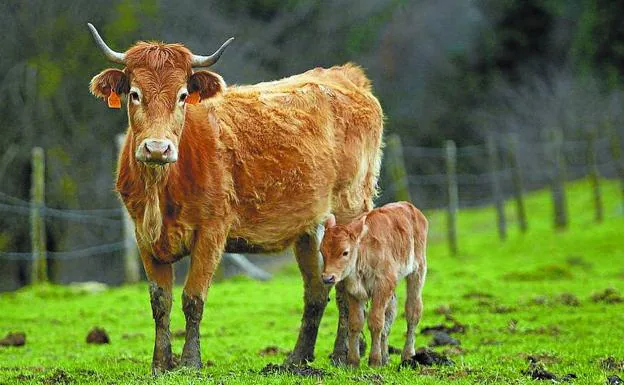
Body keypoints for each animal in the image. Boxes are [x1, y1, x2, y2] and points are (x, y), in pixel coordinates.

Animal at [85, 24, 382, 372]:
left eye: (182, 96)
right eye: (134, 94)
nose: (157, 149)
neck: (162, 191)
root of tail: (345, 75)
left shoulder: (212, 232)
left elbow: (193, 298)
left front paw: (190, 362)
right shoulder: (144, 235)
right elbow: (160, 301)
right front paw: (160, 363)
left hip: (351, 207)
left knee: (347, 288)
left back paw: (342, 357)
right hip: (308, 227)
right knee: (317, 291)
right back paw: (297, 360)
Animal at [320, 201, 426, 366]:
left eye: (345, 252)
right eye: (322, 251)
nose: (328, 278)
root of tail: (410, 207)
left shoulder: (383, 286)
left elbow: (375, 321)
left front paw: (374, 360)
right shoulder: (353, 290)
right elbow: (355, 323)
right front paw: (353, 361)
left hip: (418, 271)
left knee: (413, 312)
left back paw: (407, 355)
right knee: (389, 318)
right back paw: (386, 358)